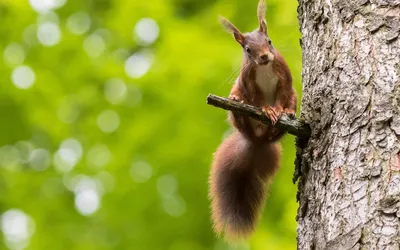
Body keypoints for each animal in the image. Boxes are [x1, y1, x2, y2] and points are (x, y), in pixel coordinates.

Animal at [209, 0, 296, 239]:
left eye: (269, 41)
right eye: (247, 50)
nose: (264, 57)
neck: (264, 68)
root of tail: (256, 140)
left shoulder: (284, 77)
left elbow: (283, 95)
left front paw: (279, 111)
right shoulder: (248, 81)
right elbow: (257, 99)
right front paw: (267, 110)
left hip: (294, 98)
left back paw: (288, 115)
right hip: (237, 104)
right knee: (239, 112)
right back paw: (237, 104)